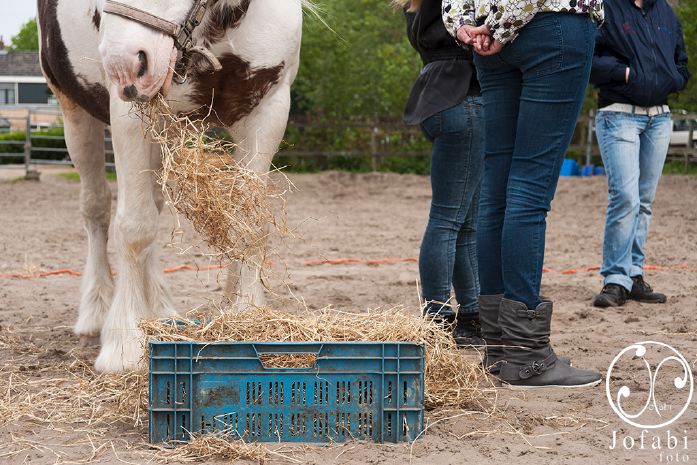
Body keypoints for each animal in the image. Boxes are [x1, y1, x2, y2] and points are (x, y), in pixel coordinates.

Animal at [37, 0, 303, 372]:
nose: (121, 64)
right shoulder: (129, 108)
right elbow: (135, 227)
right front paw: (125, 343)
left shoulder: (269, 105)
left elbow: (248, 222)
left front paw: (245, 313)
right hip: (76, 110)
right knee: (97, 209)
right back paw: (98, 311)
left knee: (153, 205)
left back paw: (161, 309)